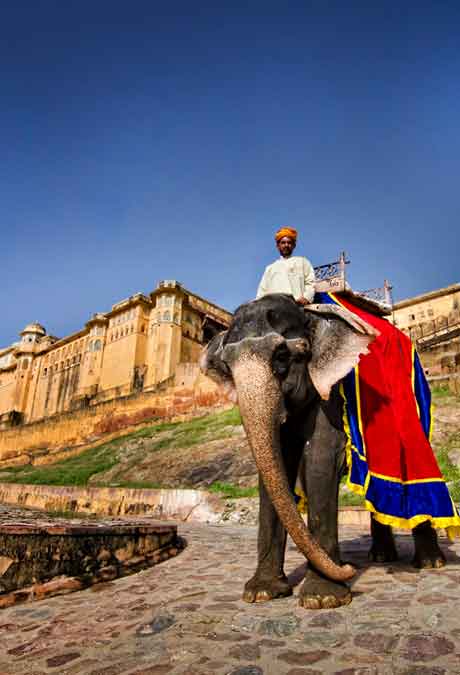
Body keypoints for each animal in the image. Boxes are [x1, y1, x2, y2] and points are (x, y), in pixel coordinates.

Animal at [200, 294, 446, 608]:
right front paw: (262, 593)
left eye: (282, 356)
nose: (348, 567)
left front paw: (323, 598)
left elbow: (320, 460)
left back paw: (429, 563)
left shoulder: (330, 393)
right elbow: (275, 467)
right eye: (227, 366)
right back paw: (381, 557)